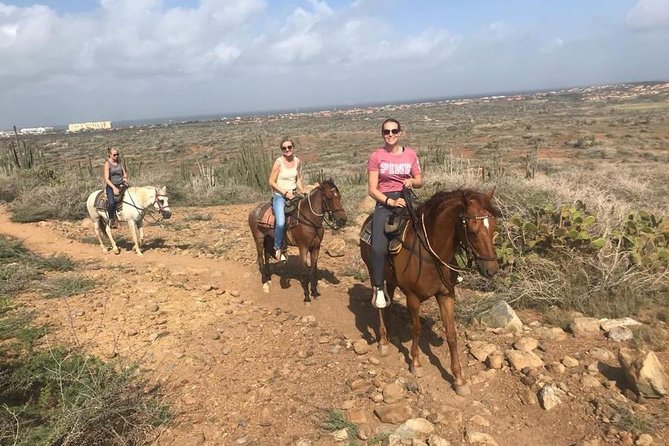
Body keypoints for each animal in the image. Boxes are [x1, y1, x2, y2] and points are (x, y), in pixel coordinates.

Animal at [360, 186, 496, 396]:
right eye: (472, 231)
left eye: (494, 227)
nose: (491, 270)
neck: (432, 253)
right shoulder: (413, 297)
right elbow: (416, 329)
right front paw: (416, 363)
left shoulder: (446, 296)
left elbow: (452, 335)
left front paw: (459, 379)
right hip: (375, 272)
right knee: (380, 304)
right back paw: (383, 341)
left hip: (390, 279)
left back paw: (389, 333)